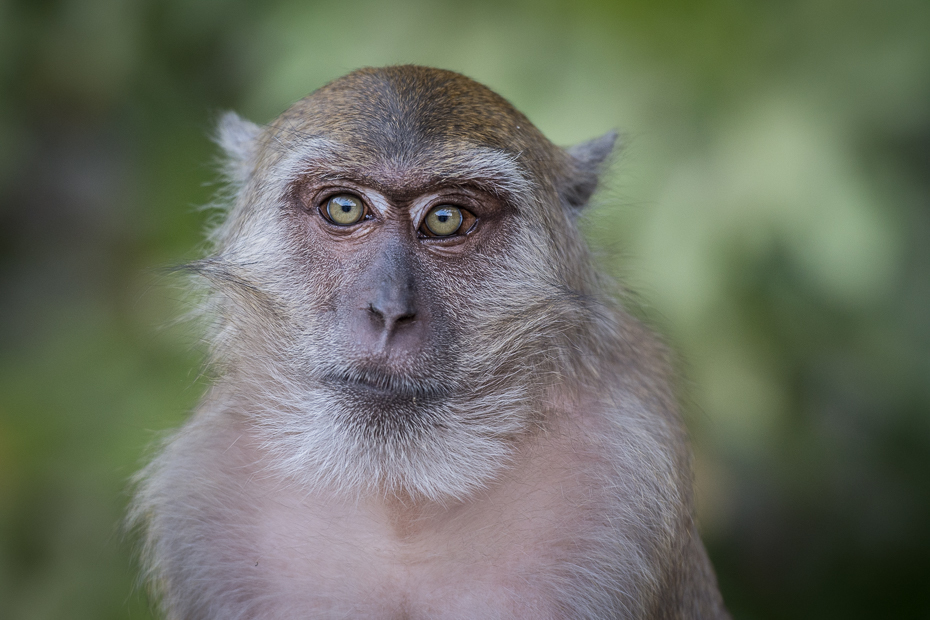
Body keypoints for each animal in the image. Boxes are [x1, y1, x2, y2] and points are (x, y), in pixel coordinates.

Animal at [130, 65, 728, 616]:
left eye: (445, 218)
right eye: (344, 208)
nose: (390, 312)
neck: (401, 496)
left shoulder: (624, 486)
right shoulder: (199, 493)